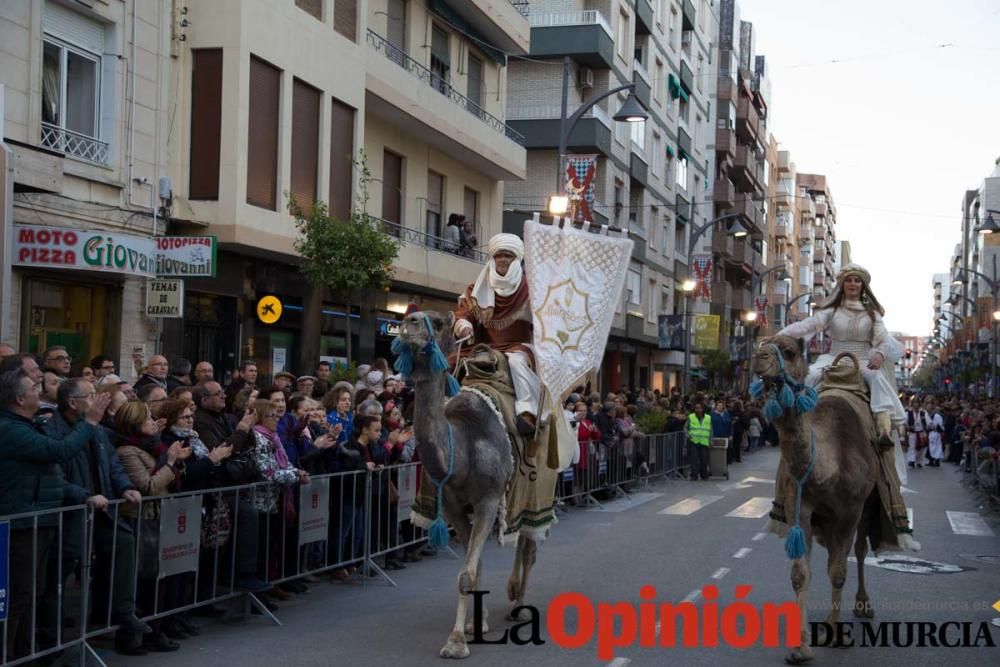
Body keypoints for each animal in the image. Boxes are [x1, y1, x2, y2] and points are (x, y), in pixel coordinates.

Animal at [394, 310, 544, 660]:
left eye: (437, 321)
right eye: (411, 316)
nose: (408, 322)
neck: (462, 449)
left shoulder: (488, 501)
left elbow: (466, 574)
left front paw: (456, 642)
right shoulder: (454, 509)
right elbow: (473, 567)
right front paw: (477, 622)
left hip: (537, 492)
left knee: (528, 543)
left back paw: (519, 604)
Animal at [752, 336, 884, 664]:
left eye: (789, 352)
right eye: (763, 343)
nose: (758, 358)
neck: (828, 466)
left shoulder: (851, 510)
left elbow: (838, 571)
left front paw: (834, 634)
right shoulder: (800, 507)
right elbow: (801, 574)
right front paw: (801, 648)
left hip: (867, 506)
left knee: (858, 551)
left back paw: (863, 605)